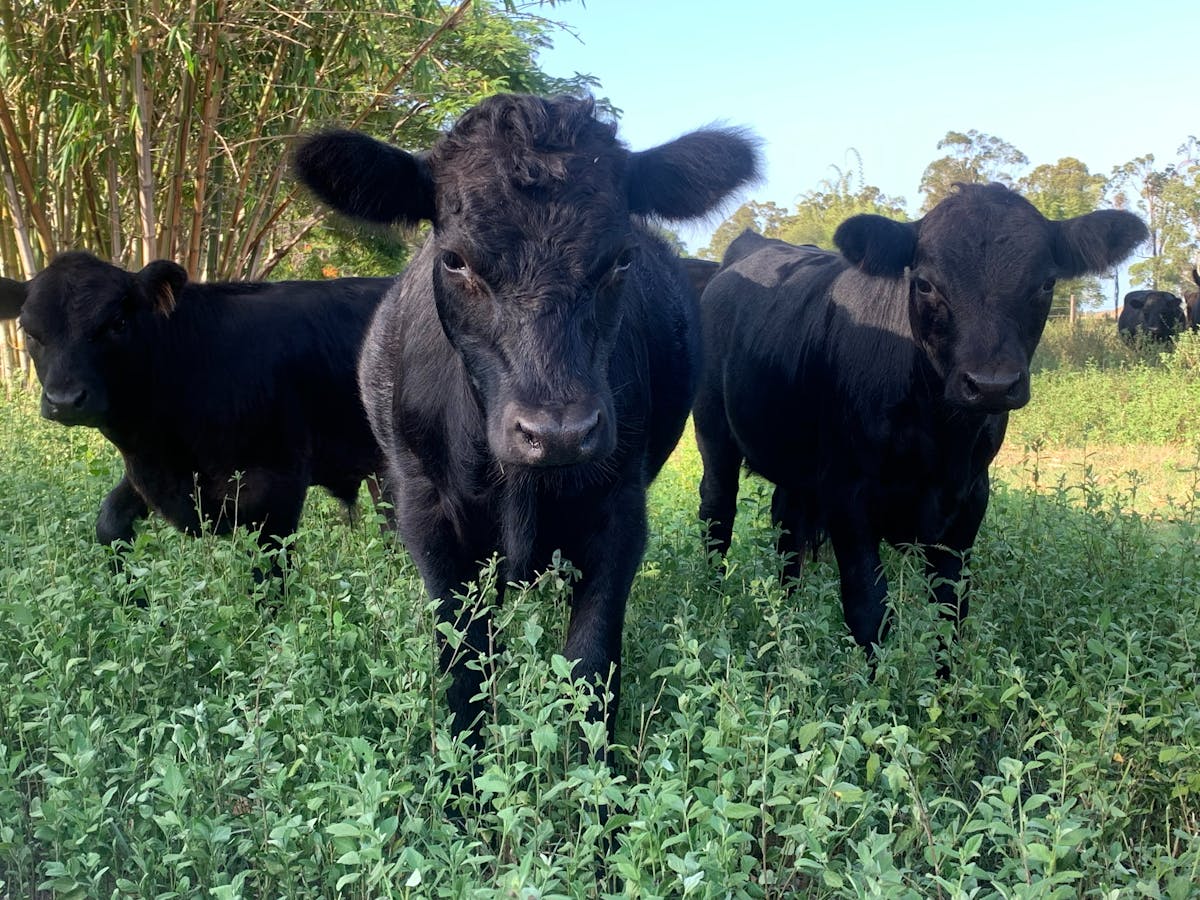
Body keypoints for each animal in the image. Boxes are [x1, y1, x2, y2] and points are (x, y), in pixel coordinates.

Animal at [0, 252, 390, 576]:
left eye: (118, 323)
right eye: (27, 330)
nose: (65, 400)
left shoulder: (277, 479)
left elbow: (270, 566)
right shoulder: (151, 469)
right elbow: (110, 522)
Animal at [293, 92, 759, 748]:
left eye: (622, 259)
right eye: (454, 259)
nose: (558, 433)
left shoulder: (620, 511)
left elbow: (591, 665)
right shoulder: (427, 516)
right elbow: (463, 668)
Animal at [694, 183, 1146, 662]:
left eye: (1046, 282)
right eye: (925, 283)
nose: (991, 384)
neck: (939, 435)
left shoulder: (970, 498)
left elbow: (950, 613)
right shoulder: (847, 494)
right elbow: (869, 611)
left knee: (787, 524)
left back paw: (790, 616)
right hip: (713, 432)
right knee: (717, 513)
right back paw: (715, 602)